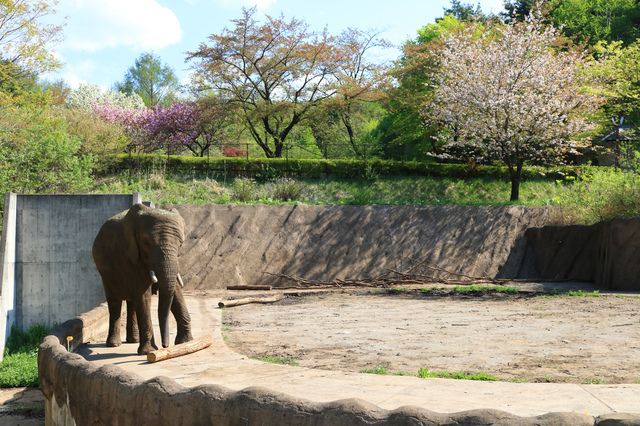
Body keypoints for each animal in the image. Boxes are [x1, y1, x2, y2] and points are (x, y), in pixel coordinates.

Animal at [91, 202, 192, 352]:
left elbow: (176, 291)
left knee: (132, 301)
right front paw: (149, 351)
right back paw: (114, 344)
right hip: (105, 274)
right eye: (146, 243)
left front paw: (185, 342)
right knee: (115, 302)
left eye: (181, 244)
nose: (165, 345)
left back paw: (134, 340)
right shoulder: (128, 256)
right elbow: (143, 295)